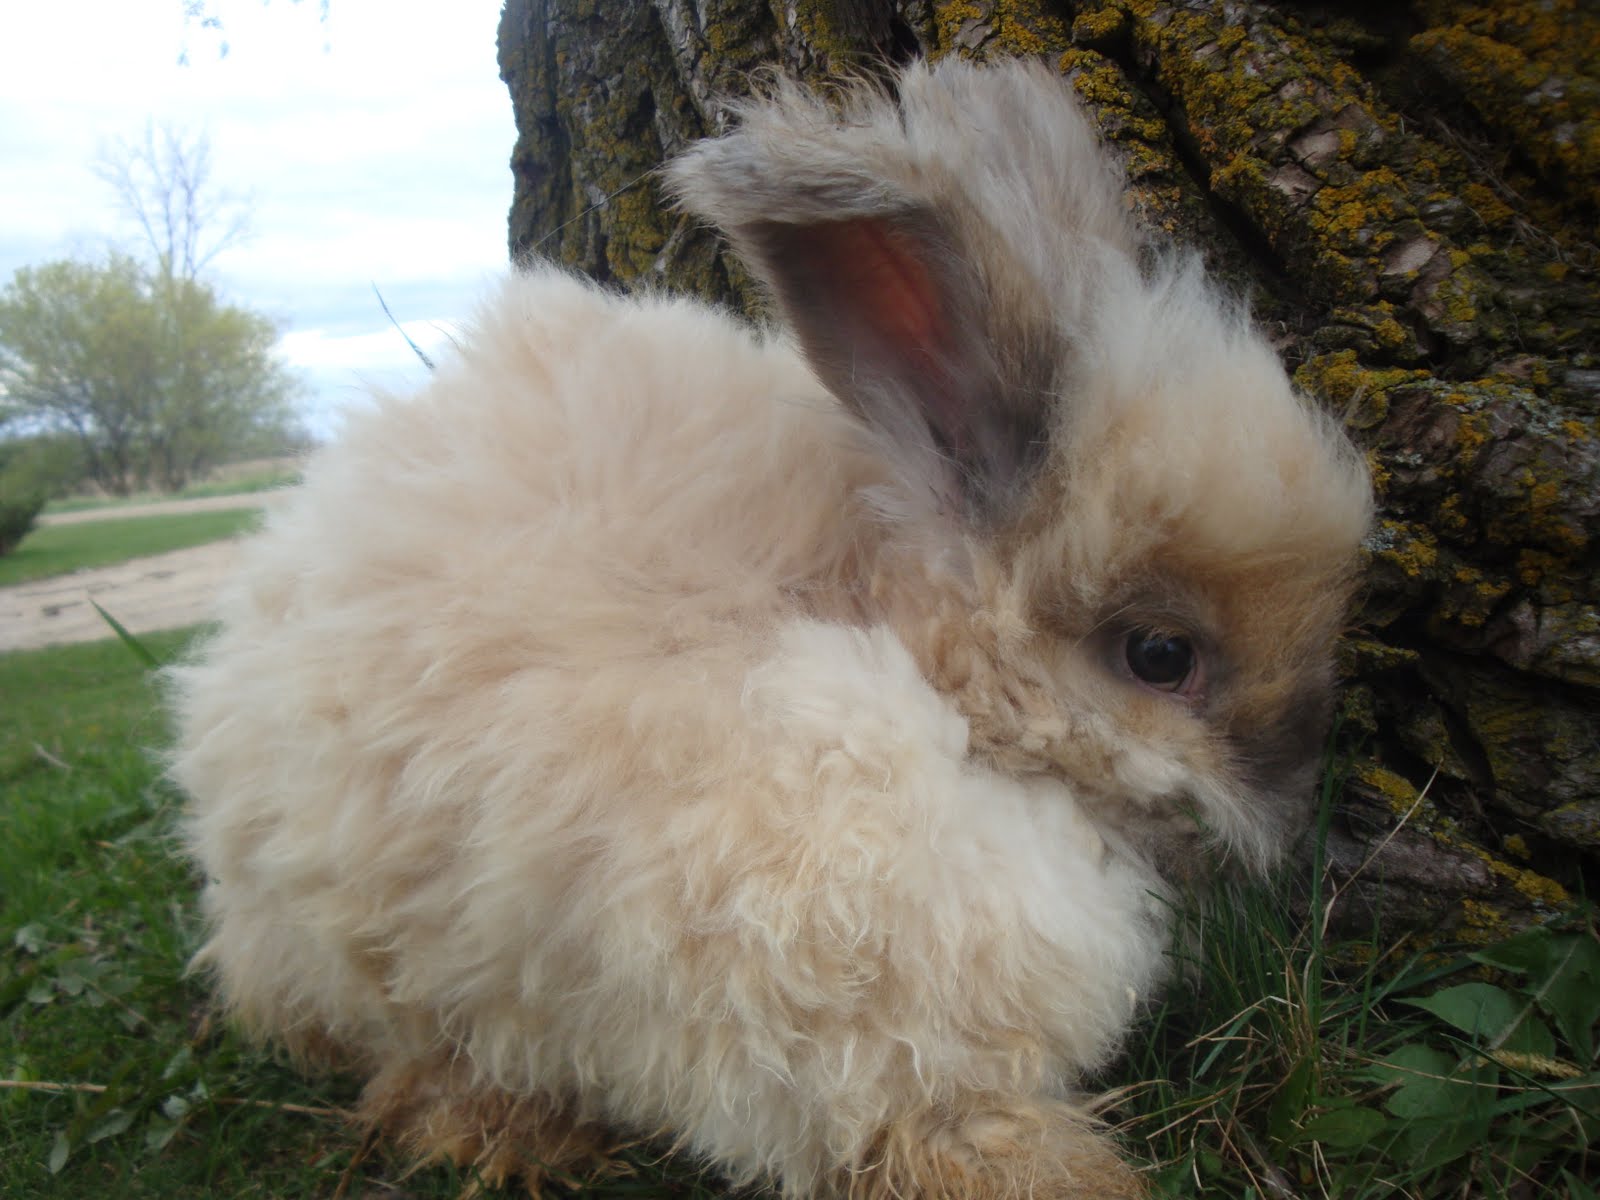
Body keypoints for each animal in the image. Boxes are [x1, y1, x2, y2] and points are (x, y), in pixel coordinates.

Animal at [168, 56, 1373, 1199]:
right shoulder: (834, 1032)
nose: (1294, 795)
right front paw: (1071, 1177)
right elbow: (926, 1132)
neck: (911, 660)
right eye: (1161, 656)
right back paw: (508, 1131)